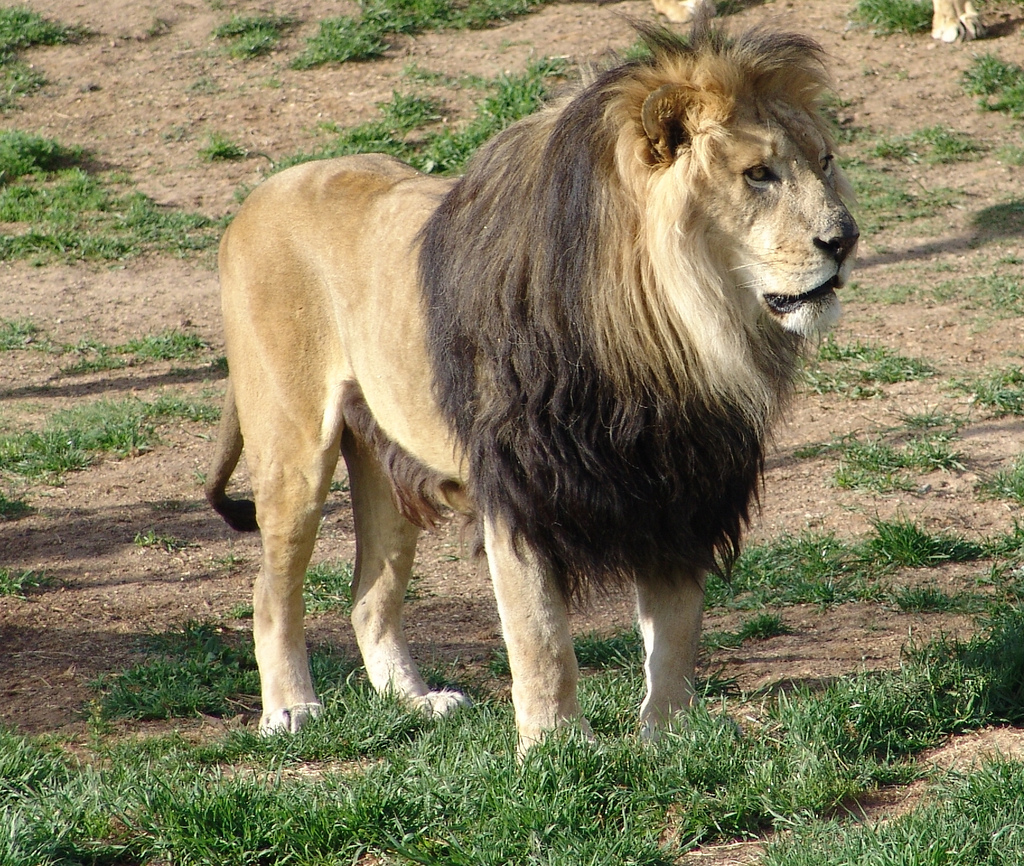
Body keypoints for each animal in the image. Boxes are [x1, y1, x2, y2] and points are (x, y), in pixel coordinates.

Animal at [206, 21, 858, 751]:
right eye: (758, 174)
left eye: (825, 162)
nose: (846, 240)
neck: (666, 339)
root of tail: (258, 194)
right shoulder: (520, 486)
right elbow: (541, 637)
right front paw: (556, 746)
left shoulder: (680, 486)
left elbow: (676, 631)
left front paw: (670, 739)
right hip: (294, 452)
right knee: (272, 593)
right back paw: (290, 709)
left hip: (385, 458)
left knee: (369, 597)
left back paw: (417, 701)